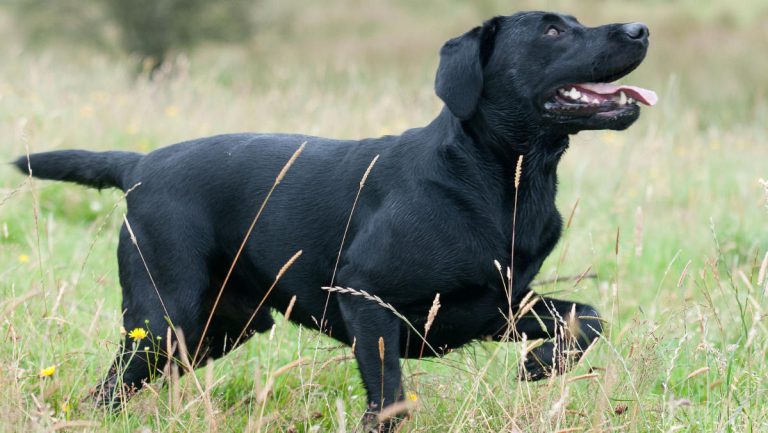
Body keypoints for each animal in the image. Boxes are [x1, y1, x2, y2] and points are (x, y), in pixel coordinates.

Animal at [13, 11, 656, 430]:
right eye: (552, 30)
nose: (640, 28)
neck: (502, 181)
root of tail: (140, 164)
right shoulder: (368, 298)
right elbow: (389, 396)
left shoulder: (497, 304)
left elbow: (588, 318)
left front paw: (541, 366)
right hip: (164, 318)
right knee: (108, 388)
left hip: (218, 329)